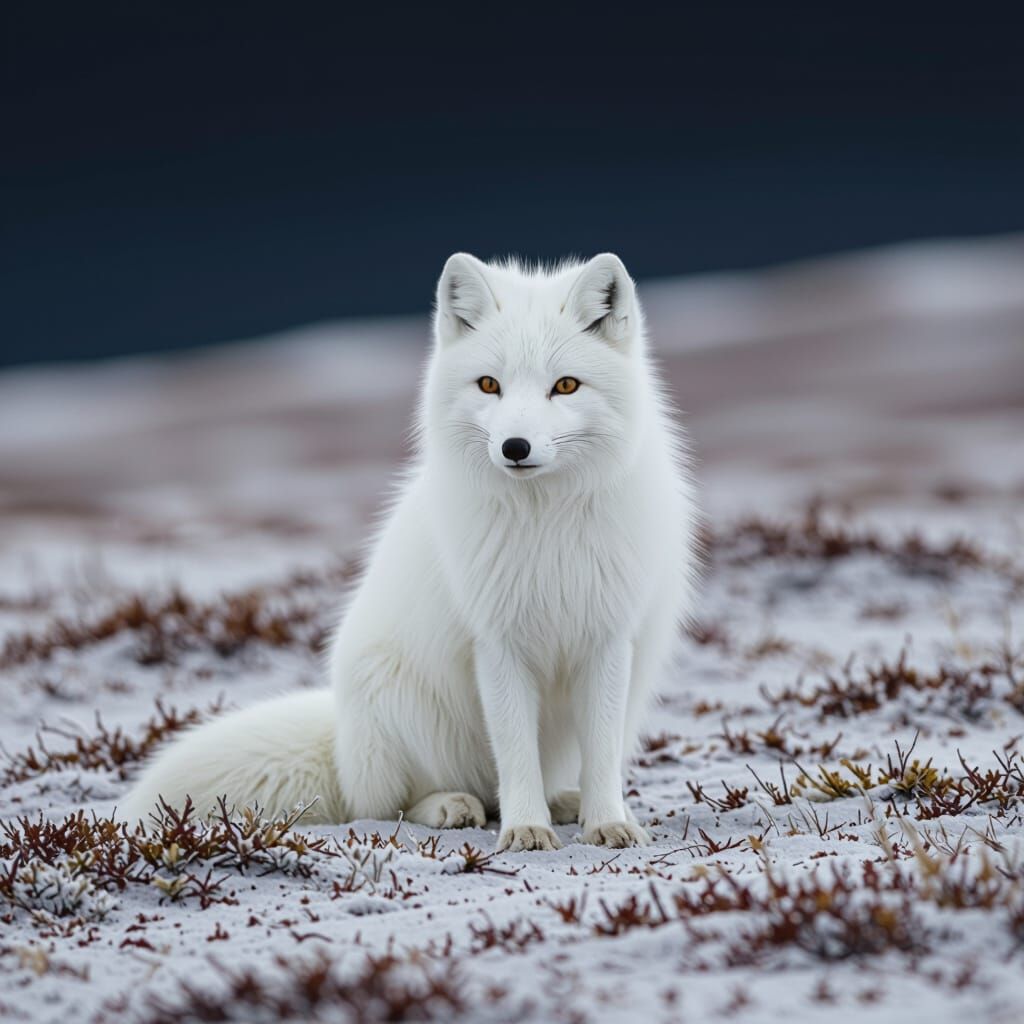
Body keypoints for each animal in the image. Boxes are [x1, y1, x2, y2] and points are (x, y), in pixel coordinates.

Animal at [122, 252, 699, 851]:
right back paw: (455, 805)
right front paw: (525, 829)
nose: (514, 447)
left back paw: (565, 802)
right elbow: (515, 753)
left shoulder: (608, 638)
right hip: (395, 703)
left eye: (565, 386)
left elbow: (602, 754)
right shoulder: (496, 643)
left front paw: (606, 820)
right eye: (489, 384)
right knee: (390, 803)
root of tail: (342, 744)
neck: (546, 527)